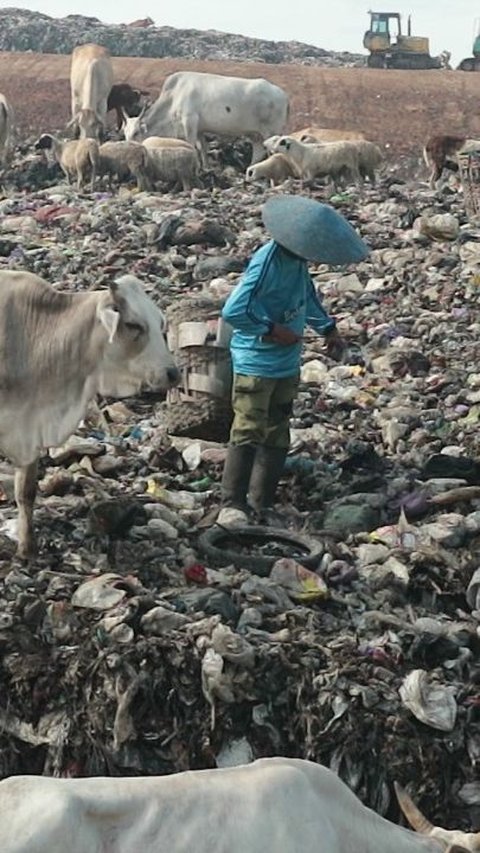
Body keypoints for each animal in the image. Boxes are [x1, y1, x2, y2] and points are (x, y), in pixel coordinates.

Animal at [0, 270, 179, 556]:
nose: (173, 373)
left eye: (159, 322)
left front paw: (27, 549)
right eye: (133, 325)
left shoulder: (31, 431)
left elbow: (26, 492)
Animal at [122, 72, 290, 170]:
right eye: (125, 133)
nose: (127, 148)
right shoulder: (200, 129)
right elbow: (202, 148)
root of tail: (282, 94)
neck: (173, 97)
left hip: (271, 131)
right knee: (258, 151)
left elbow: (191, 145)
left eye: (136, 132)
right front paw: (207, 168)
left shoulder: (189, 121)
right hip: (255, 134)